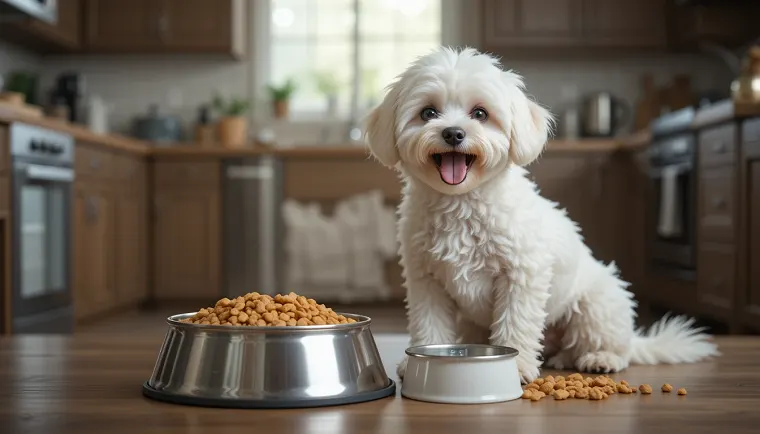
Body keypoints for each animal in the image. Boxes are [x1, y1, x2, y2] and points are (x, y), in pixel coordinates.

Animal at [362, 47, 720, 384]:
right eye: (428, 113)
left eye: (480, 113)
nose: (453, 133)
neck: (462, 204)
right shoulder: (427, 282)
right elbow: (429, 326)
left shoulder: (521, 275)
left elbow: (515, 325)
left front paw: (517, 366)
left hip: (597, 304)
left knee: (617, 348)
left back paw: (600, 358)